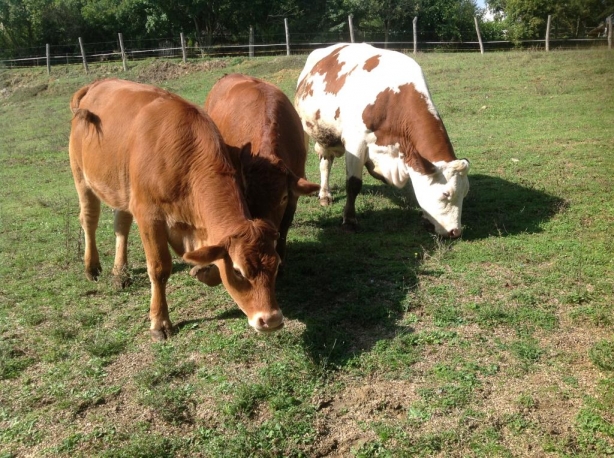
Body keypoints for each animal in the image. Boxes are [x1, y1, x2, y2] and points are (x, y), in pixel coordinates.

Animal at [68, 78, 286, 340]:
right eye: (238, 271)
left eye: (277, 265)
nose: (271, 320)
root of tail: (96, 84)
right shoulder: (149, 216)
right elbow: (159, 268)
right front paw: (159, 322)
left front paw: (203, 272)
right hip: (81, 177)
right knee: (89, 219)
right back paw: (92, 267)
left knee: (121, 224)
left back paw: (120, 271)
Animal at [294, 43, 472, 238]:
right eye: (446, 194)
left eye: (465, 193)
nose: (456, 232)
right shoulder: (355, 143)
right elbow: (353, 184)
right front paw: (349, 221)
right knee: (321, 163)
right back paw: (323, 193)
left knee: (326, 161)